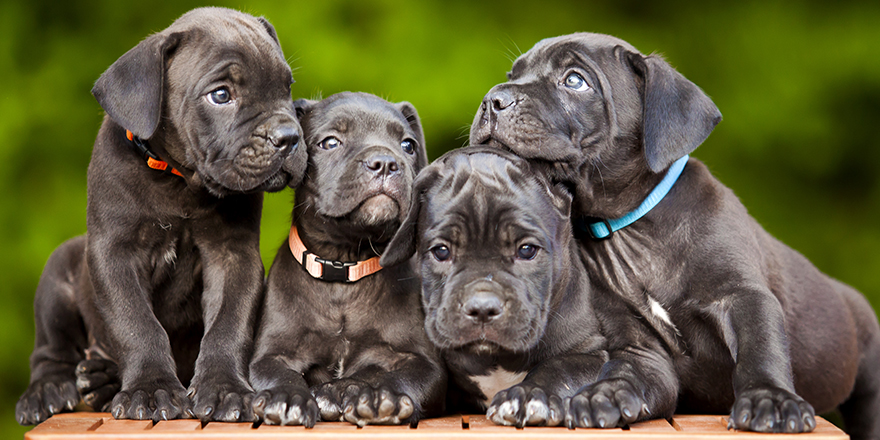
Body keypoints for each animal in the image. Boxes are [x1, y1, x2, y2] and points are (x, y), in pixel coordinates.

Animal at [13, 6, 310, 424]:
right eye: (221, 95)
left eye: (287, 87)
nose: (289, 136)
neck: (179, 181)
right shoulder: (115, 254)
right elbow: (137, 324)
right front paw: (150, 388)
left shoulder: (233, 257)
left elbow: (228, 325)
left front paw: (224, 388)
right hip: (58, 274)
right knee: (49, 350)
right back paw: (49, 390)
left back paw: (102, 380)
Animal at [249, 92, 446, 426]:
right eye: (330, 142)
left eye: (408, 145)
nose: (386, 162)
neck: (344, 266)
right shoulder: (269, 355)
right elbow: (279, 374)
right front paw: (288, 397)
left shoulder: (424, 363)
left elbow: (394, 374)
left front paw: (376, 395)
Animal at [382, 147, 616, 426]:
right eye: (441, 251)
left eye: (526, 250)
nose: (483, 308)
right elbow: (415, 374)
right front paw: (382, 393)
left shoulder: (590, 352)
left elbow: (559, 368)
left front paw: (528, 395)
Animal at [470, 31, 880, 440]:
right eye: (512, 74)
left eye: (574, 80)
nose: (493, 99)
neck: (634, 230)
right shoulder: (637, 343)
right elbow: (633, 375)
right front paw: (604, 396)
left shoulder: (743, 297)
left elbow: (760, 349)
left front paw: (771, 399)